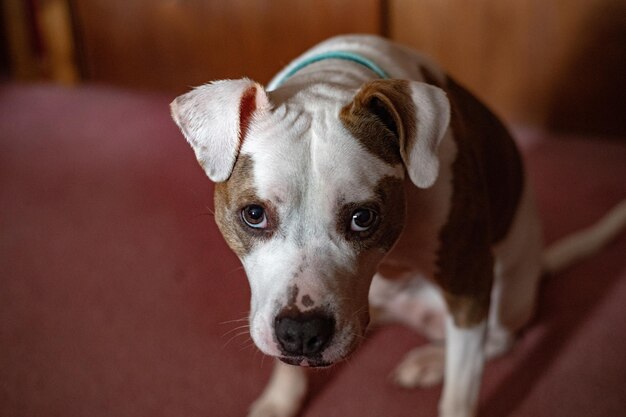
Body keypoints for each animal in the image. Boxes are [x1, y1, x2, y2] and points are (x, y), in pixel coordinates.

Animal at [169, 35, 624, 416]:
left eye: (363, 218)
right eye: (254, 214)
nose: (300, 332)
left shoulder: (469, 278)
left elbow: (461, 393)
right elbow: (286, 363)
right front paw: (280, 401)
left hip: (500, 296)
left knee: (494, 341)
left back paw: (432, 360)